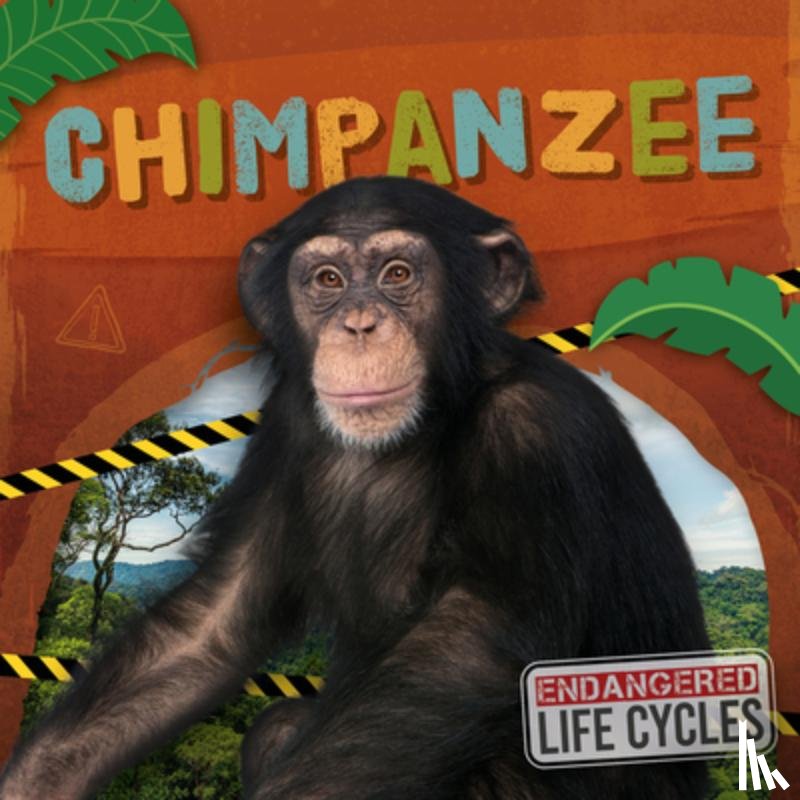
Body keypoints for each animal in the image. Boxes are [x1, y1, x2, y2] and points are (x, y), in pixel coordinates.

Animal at [0, 176, 709, 799]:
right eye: (328, 281)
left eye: (397, 274)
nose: (360, 324)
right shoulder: (287, 424)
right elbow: (213, 622)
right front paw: (36, 781)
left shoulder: (535, 430)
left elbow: (469, 647)